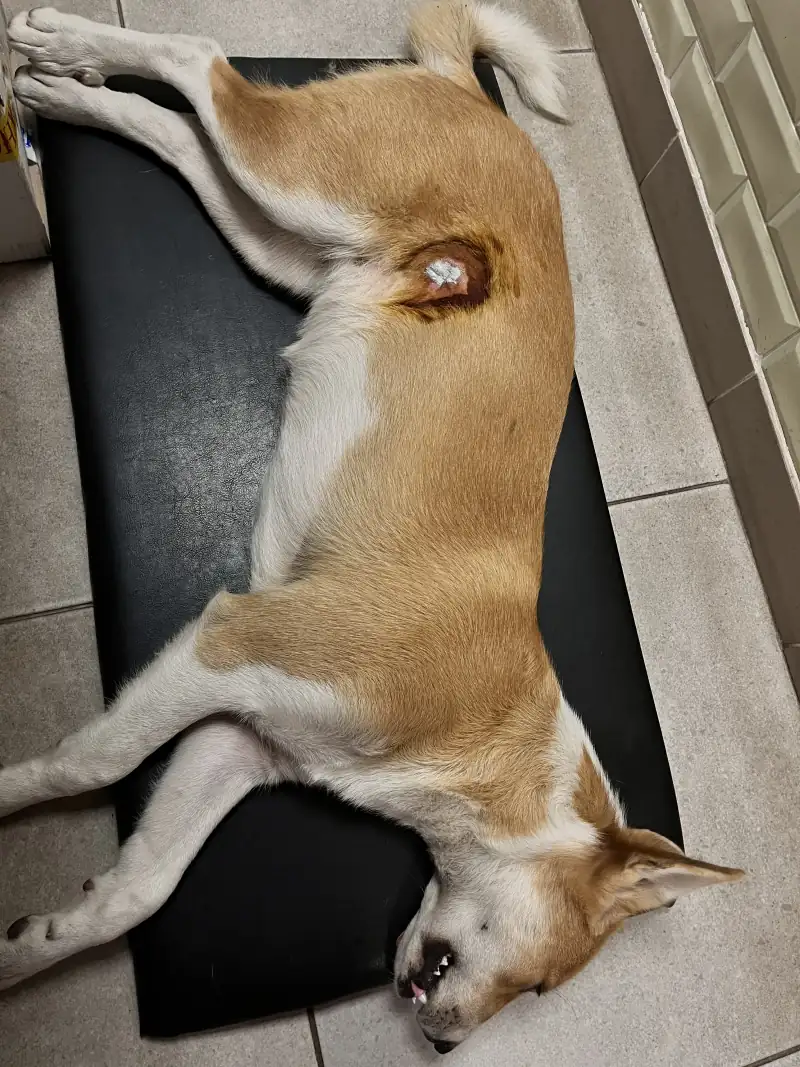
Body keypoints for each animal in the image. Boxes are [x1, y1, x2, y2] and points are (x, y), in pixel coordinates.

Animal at [3, 2, 743, 1052]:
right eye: (543, 987)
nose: (444, 1043)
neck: (493, 749)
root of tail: (479, 98)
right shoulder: (233, 642)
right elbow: (90, 759)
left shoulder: (241, 734)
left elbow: (139, 888)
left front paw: (26, 950)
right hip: (296, 175)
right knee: (203, 65)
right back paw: (67, 43)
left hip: (278, 231)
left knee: (181, 131)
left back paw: (65, 91)